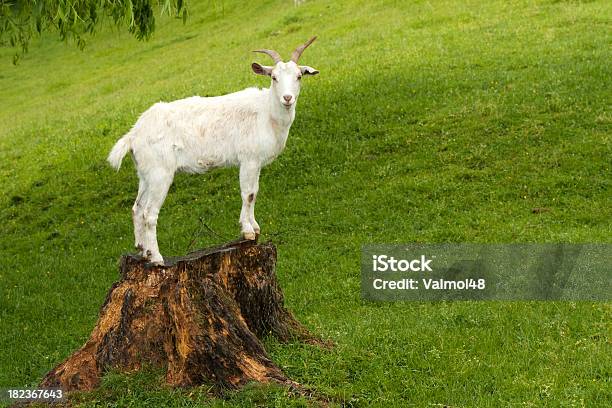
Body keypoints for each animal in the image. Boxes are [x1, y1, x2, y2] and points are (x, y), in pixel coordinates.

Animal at [108, 37, 320, 264]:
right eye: (273, 77)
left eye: (299, 76)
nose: (287, 98)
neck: (267, 113)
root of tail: (134, 134)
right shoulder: (249, 159)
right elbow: (248, 194)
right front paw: (247, 231)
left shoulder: (256, 163)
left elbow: (255, 191)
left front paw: (255, 227)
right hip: (160, 173)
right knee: (149, 213)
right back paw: (156, 258)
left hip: (145, 174)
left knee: (136, 208)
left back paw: (142, 250)